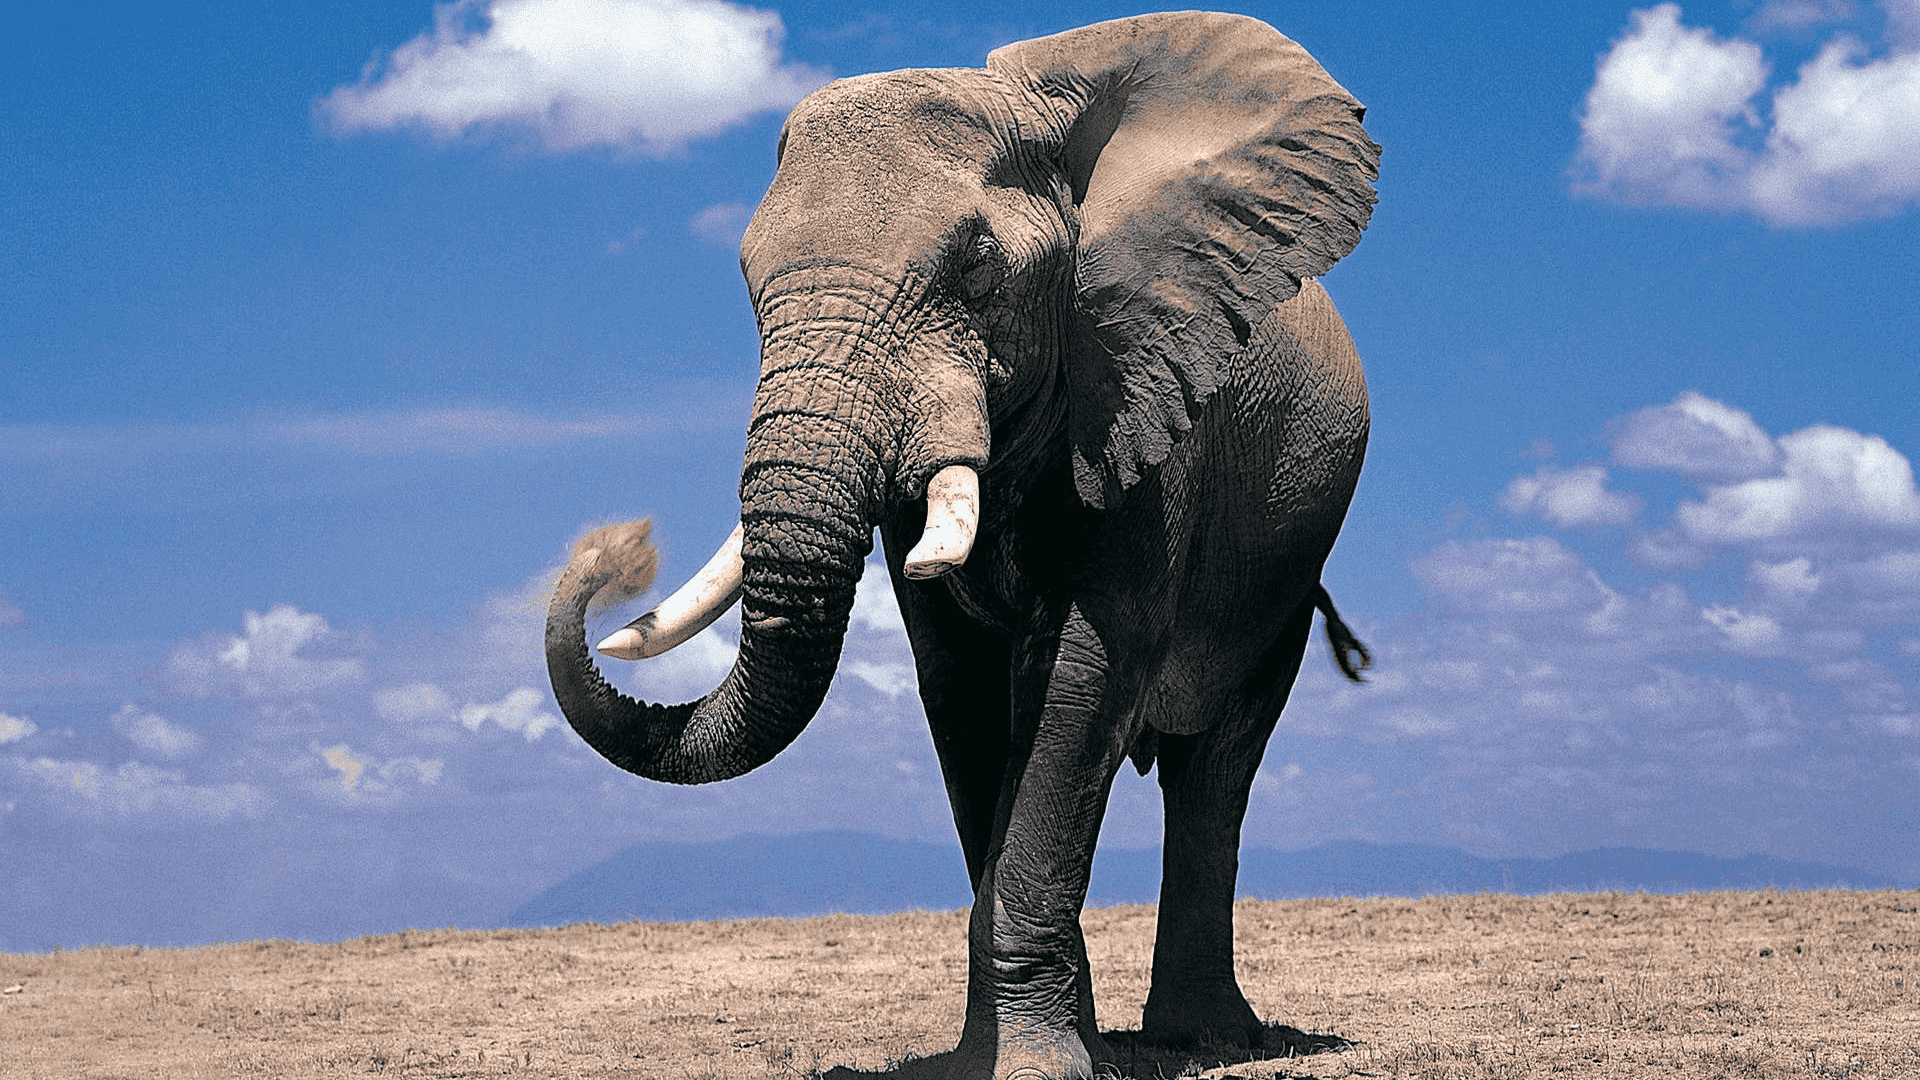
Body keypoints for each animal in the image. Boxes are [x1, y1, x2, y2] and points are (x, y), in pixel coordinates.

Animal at [544, 12, 1378, 1079]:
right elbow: (962, 687)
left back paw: (1208, 1038)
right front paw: (1007, 1056)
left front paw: (1040, 1069)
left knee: (1215, 765)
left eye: (979, 271)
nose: (615, 550)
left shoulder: (1144, 392)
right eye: (746, 280)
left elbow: (1083, 671)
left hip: (1287, 558)